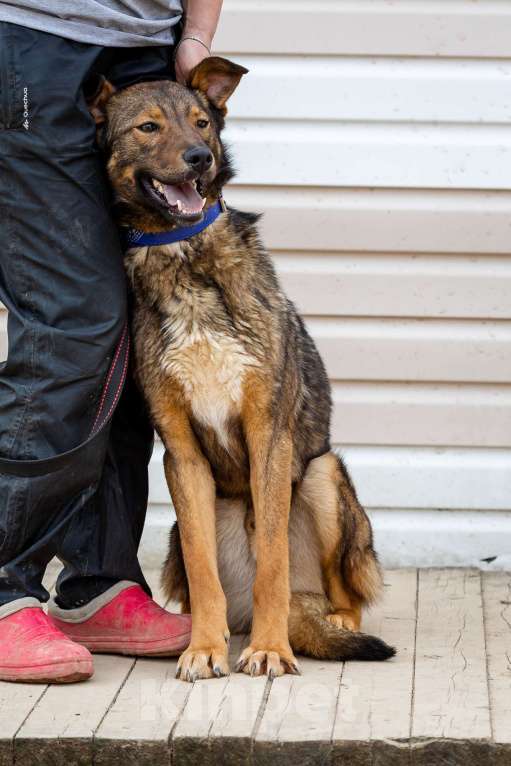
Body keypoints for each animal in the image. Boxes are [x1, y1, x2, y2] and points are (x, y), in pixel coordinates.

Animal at [91, 60, 396, 684]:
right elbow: (205, 571)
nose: (198, 159)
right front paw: (205, 648)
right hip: (182, 528)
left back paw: (330, 622)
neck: (183, 258)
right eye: (148, 127)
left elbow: (272, 564)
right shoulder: (182, 455)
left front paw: (271, 649)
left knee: (340, 592)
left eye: (202, 122)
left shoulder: (269, 437)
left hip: (324, 475)